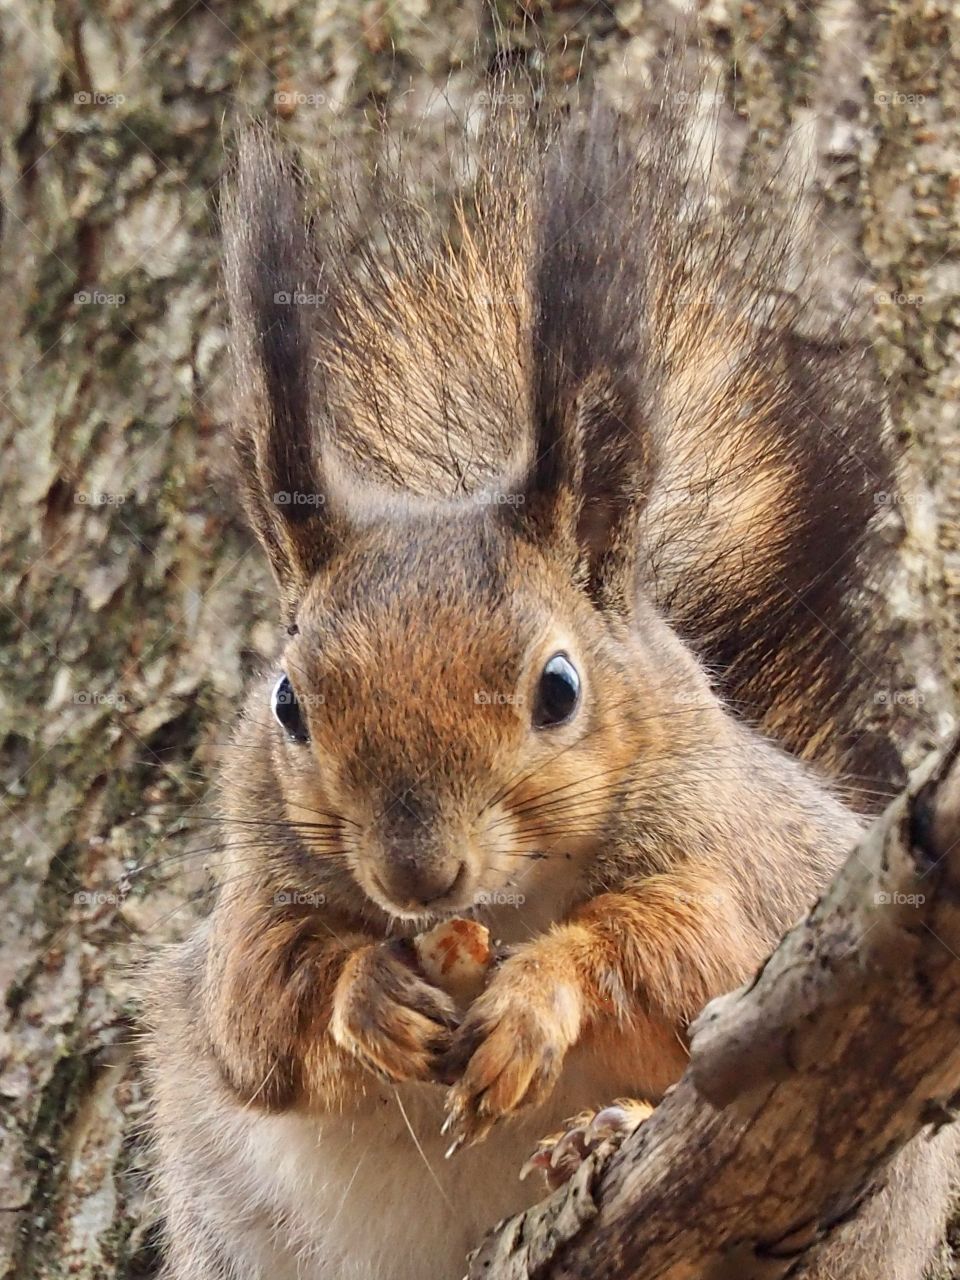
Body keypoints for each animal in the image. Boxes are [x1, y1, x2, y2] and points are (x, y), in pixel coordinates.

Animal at [141, 83, 959, 1280]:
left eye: (559, 688)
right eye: (288, 702)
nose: (418, 871)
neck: (505, 898)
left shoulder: (758, 881)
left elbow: (688, 944)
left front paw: (539, 993)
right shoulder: (249, 912)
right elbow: (257, 1003)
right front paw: (367, 993)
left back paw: (601, 1135)